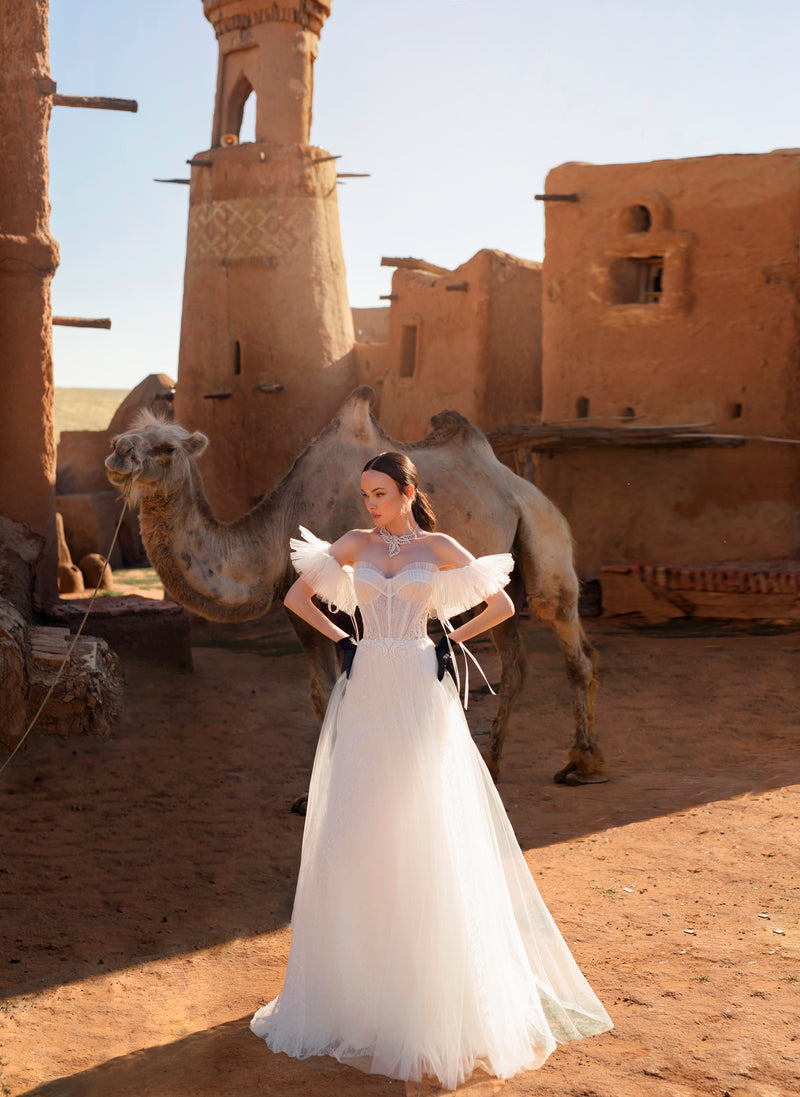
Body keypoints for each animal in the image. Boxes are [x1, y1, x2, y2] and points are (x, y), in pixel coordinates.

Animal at [105, 386, 605, 789]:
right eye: (127, 437)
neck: (280, 525)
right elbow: (321, 694)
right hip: (492, 582)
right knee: (516, 664)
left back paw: (582, 765)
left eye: (167, 447)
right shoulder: (302, 611)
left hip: (544, 536)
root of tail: (525, 489)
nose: (118, 452)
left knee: (568, 638)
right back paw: (492, 766)